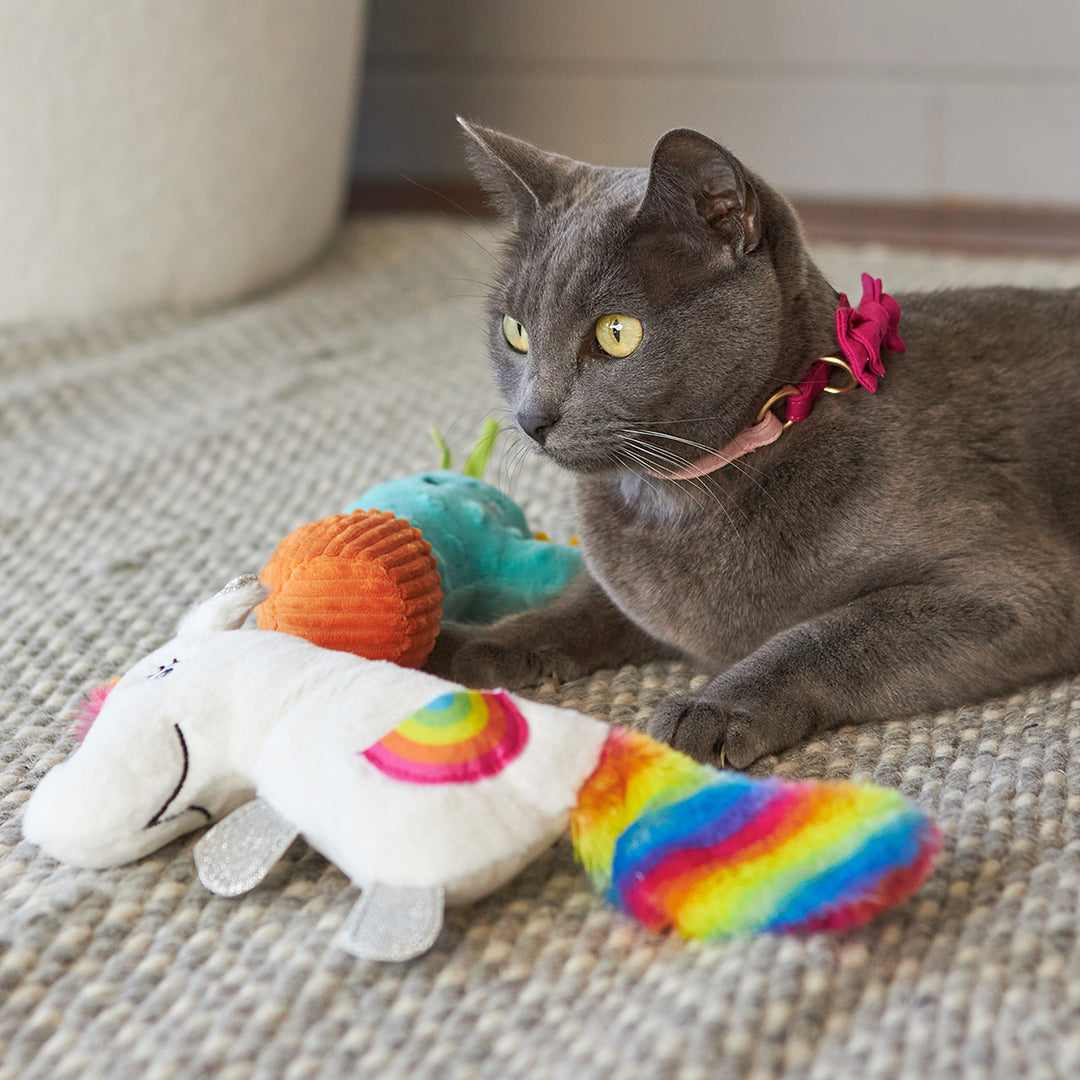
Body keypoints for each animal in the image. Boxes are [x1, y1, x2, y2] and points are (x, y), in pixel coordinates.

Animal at [421, 120, 1080, 768]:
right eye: (515, 332)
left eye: (617, 334)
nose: (532, 417)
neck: (680, 498)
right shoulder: (632, 591)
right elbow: (582, 602)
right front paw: (472, 643)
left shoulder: (1011, 590)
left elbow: (829, 633)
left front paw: (713, 707)